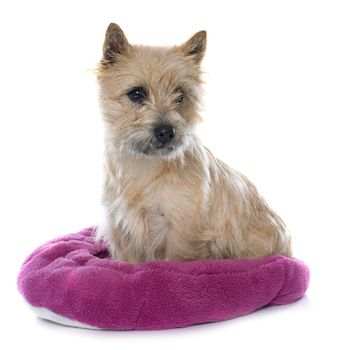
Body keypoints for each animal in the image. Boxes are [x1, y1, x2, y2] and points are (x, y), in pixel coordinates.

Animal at [94, 23, 292, 262]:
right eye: (137, 93)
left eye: (180, 95)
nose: (166, 132)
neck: (145, 166)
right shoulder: (121, 232)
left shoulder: (181, 234)